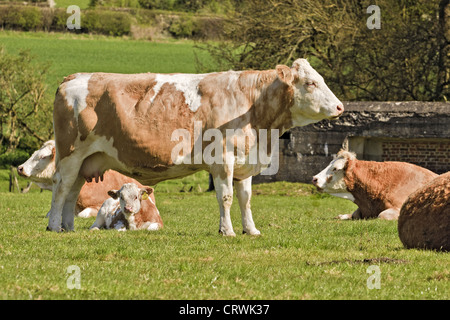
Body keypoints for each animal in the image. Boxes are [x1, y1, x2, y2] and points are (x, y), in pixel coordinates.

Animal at [45, 57, 342, 234]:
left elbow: (245, 198)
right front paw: (227, 231)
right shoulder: (222, 160)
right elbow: (226, 197)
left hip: (86, 161)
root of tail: (73, 77)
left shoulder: (244, 161)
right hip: (70, 155)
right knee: (60, 189)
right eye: (311, 83)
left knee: (72, 190)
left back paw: (68, 227)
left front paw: (251, 230)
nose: (340, 107)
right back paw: (54, 226)